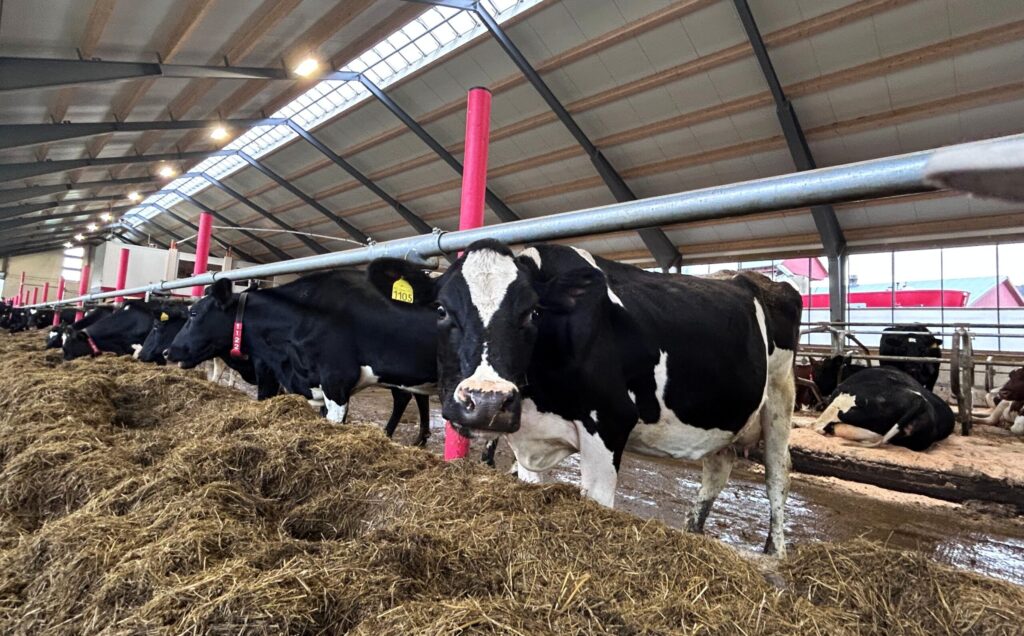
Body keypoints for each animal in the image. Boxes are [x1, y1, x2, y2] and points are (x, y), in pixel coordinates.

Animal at [379, 240, 802, 555]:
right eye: (441, 310)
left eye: (531, 312)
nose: (485, 402)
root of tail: (749, 277)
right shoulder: (528, 438)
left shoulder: (609, 424)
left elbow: (599, 503)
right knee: (719, 466)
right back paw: (693, 532)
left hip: (780, 395)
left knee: (777, 473)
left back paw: (776, 555)